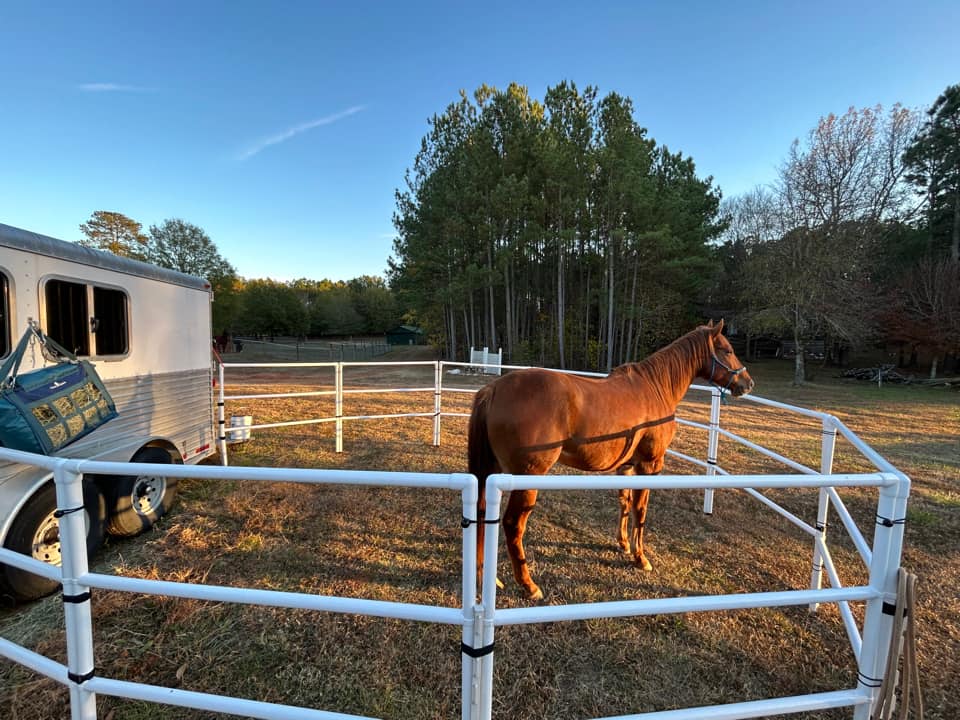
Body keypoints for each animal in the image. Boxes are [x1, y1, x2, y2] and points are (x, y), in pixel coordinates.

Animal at [468, 324, 752, 600]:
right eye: (727, 350)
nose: (747, 383)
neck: (656, 387)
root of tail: (493, 389)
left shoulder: (626, 466)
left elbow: (624, 502)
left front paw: (624, 544)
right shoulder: (649, 465)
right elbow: (640, 509)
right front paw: (641, 558)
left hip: (491, 472)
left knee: (481, 514)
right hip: (525, 479)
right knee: (513, 525)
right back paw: (529, 586)